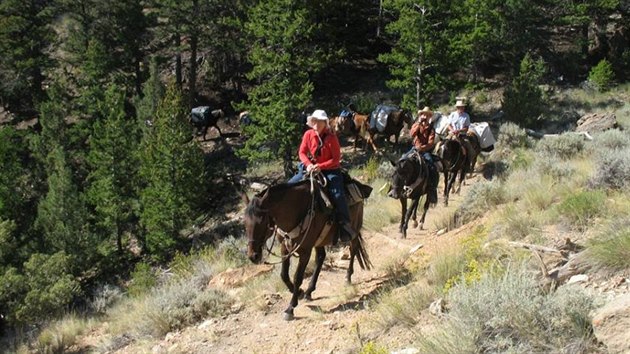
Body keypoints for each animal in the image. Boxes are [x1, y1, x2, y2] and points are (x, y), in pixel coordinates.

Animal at [244, 180, 372, 320]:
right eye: (245, 223)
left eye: (262, 222)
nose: (253, 256)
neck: (294, 210)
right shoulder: (285, 247)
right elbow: (284, 275)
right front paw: (299, 292)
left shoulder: (305, 251)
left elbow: (297, 277)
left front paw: (290, 308)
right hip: (320, 240)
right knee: (321, 257)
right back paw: (309, 291)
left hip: (354, 228)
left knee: (353, 249)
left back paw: (347, 278)